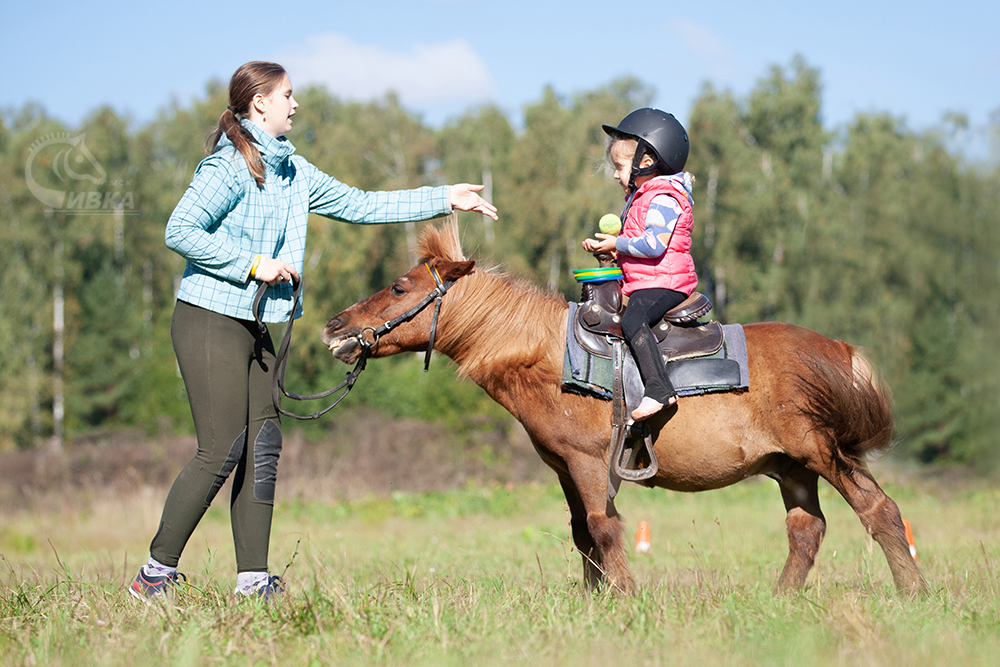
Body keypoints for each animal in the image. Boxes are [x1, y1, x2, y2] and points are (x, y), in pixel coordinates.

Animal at [320, 220, 927, 596]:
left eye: (399, 288)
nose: (335, 325)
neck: (550, 354)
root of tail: (839, 351)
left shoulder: (591, 462)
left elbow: (604, 529)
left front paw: (627, 598)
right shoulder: (565, 467)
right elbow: (582, 532)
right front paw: (596, 600)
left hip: (823, 453)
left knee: (880, 511)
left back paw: (913, 593)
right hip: (792, 468)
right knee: (806, 531)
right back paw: (780, 601)